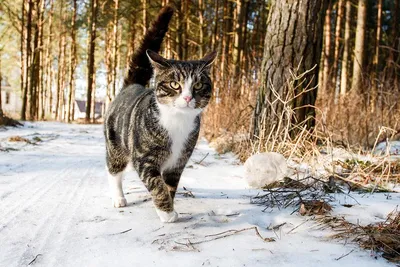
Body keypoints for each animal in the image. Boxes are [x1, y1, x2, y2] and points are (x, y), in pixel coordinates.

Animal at [103, 6, 216, 224]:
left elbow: (170, 185)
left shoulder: (179, 160)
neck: (177, 121)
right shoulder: (144, 159)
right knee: (113, 169)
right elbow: (156, 184)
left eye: (198, 85)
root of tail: (132, 86)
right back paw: (119, 197)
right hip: (116, 143)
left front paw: (170, 206)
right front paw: (166, 213)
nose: (188, 97)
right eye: (174, 84)